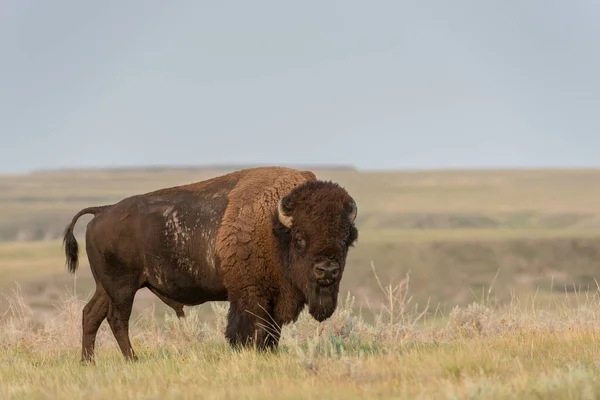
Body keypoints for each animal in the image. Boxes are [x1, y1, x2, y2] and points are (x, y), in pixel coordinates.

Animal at [63, 166, 358, 362]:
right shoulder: (251, 295)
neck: (274, 228)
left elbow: (272, 332)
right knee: (117, 319)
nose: (327, 271)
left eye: (345, 238)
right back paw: (132, 360)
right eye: (299, 238)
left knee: (91, 314)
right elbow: (253, 329)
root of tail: (102, 211)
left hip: (106, 287)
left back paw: (88, 362)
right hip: (122, 288)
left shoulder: (272, 297)